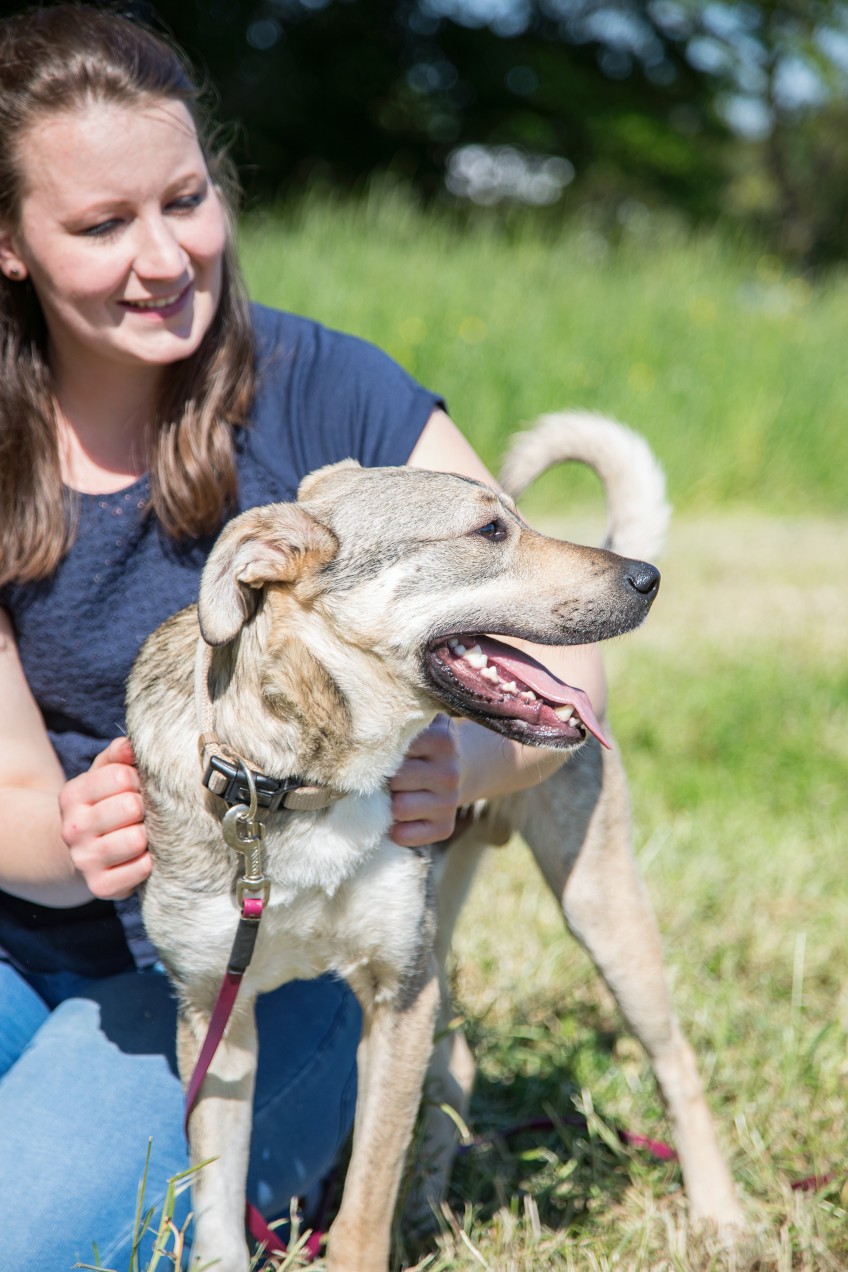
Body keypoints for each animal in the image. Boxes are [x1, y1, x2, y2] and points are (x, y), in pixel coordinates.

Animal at [125, 412, 742, 1266]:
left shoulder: (398, 997)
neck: (303, 786)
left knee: (675, 1060)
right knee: (460, 1065)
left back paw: (721, 1219)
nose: (649, 579)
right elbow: (218, 1209)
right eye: (490, 530)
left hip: (600, 908)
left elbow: (360, 1211)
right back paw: (426, 1211)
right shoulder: (217, 1018)